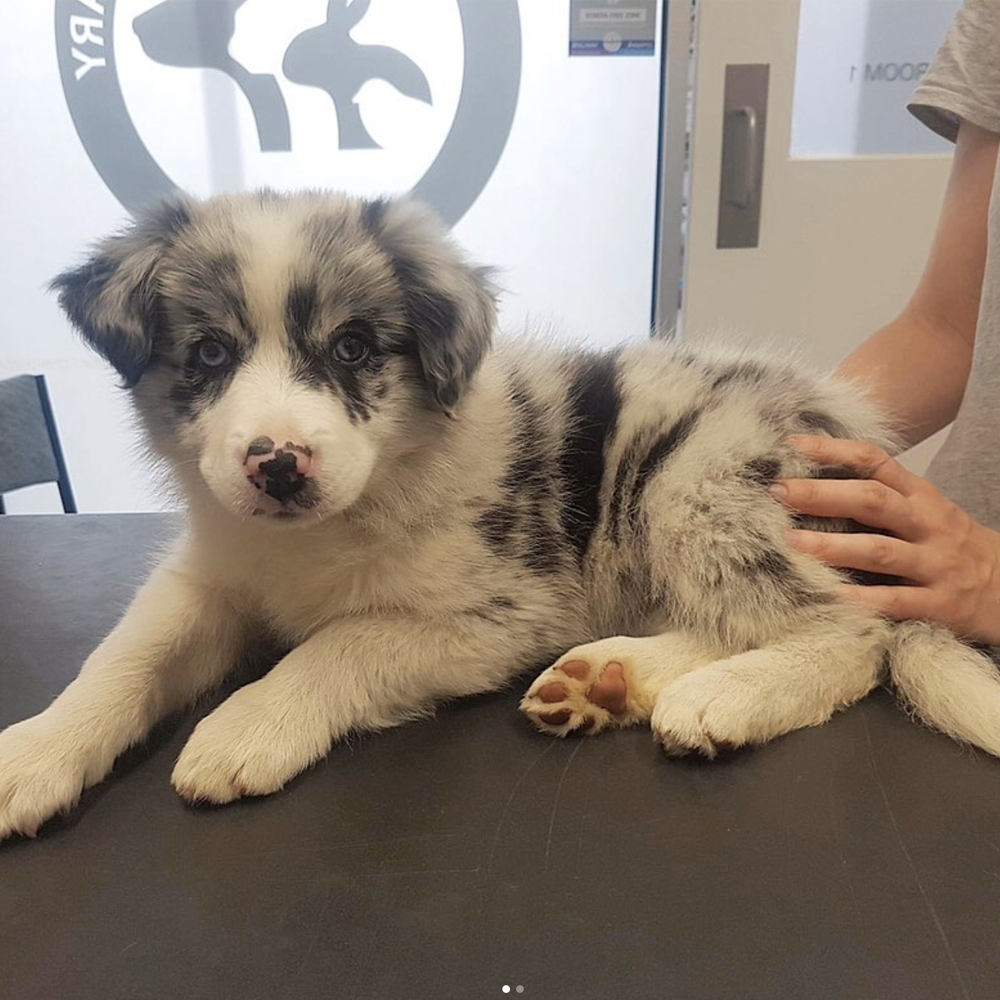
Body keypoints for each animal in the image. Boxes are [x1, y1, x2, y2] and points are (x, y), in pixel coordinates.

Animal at [0, 191, 992, 840]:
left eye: (353, 347)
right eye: (208, 355)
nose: (277, 466)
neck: (326, 531)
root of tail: (846, 424)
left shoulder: (503, 609)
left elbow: (342, 641)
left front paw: (250, 724)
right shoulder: (207, 575)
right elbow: (123, 658)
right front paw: (35, 751)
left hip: (696, 480)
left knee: (850, 630)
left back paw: (723, 698)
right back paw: (608, 678)